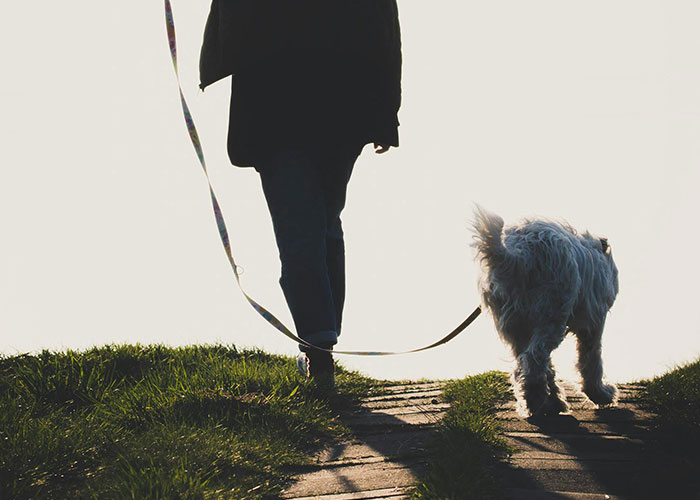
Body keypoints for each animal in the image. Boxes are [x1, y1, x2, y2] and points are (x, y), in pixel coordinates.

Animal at [474, 205, 620, 416]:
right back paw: (536, 401)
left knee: (527, 363)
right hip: (552, 315)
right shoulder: (593, 323)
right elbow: (591, 361)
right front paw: (601, 394)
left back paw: (548, 402)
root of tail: (518, 255)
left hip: (516, 325)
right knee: (534, 359)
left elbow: (551, 367)